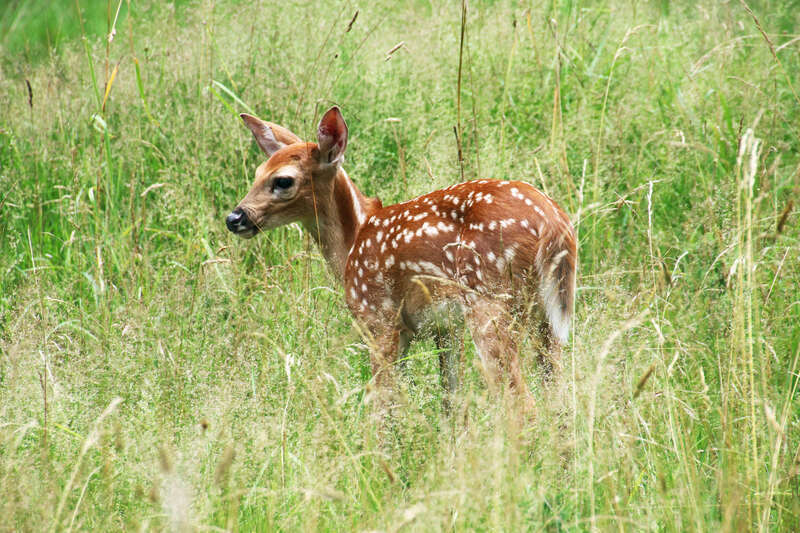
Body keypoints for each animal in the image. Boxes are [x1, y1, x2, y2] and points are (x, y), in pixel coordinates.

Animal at [226, 106, 577, 415]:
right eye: (256, 174)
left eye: (283, 181)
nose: (234, 218)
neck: (353, 239)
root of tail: (555, 224)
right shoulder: (444, 328)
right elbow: (450, 402)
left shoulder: (379, 317)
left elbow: (383, 406)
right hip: (546, 315)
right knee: (557, 400)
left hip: (490, 300)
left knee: (522, 404)